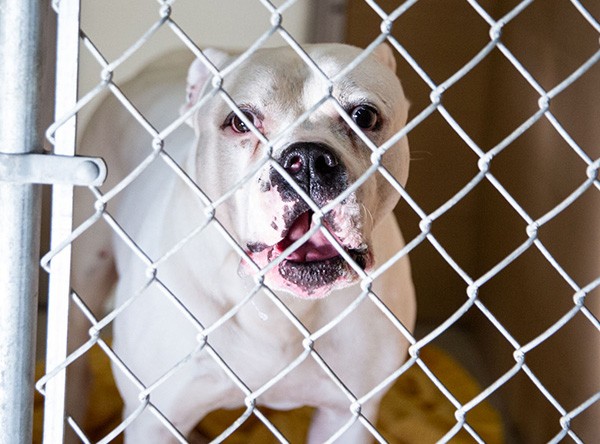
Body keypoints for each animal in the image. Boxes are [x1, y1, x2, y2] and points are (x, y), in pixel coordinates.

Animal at [72, 43, 414, 442]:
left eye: (363, 116)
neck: (281, 308)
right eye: (240, 123)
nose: (308, 160)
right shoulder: (154, 419)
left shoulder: (348, 416)